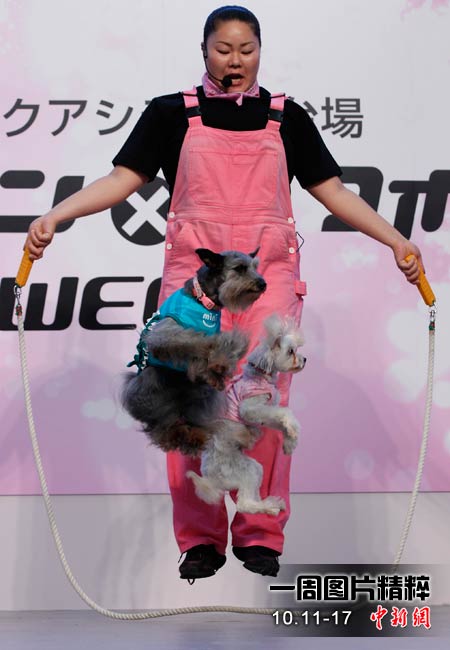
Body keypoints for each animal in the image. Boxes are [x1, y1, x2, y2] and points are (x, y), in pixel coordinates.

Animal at [121, 247, 266, 455]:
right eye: (239, 268)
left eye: (255, 267)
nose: (263, 284)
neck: (203, 301)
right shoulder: (166, 333)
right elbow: (198, 340)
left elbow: (214, 347)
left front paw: (220, 363)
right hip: (150, 385)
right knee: (162, 422)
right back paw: (172, 435)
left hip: (202, 395)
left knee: (192, 420)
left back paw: (194, 437)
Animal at [186, 314, 306, 515]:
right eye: (291, 351)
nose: (305, 359)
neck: (260, 375)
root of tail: (211, 479)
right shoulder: (251, 408)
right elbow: (284, 412)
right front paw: (293, 430)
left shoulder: (265, 414)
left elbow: (280, 421)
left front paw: (289, 442)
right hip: (243, 470)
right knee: (244, 505)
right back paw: (270, 505)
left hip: (254, 468)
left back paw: (270, 505)